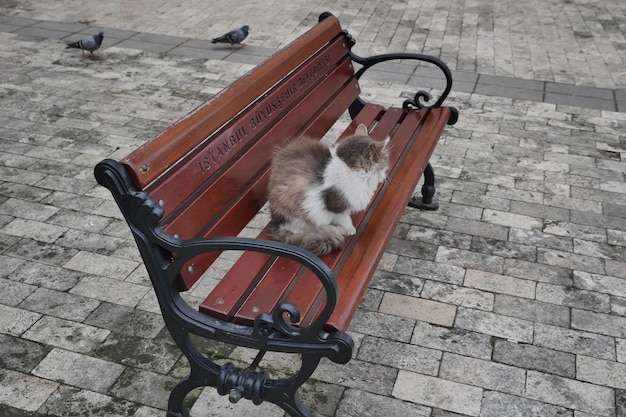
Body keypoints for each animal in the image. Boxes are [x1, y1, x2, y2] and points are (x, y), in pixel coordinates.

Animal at [266, 122, 388, 255]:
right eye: (384, 162)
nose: (385, 174)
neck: (348, 167)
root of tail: (275, 221)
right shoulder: (334, 205)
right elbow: (345, 219)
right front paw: (350, 229)